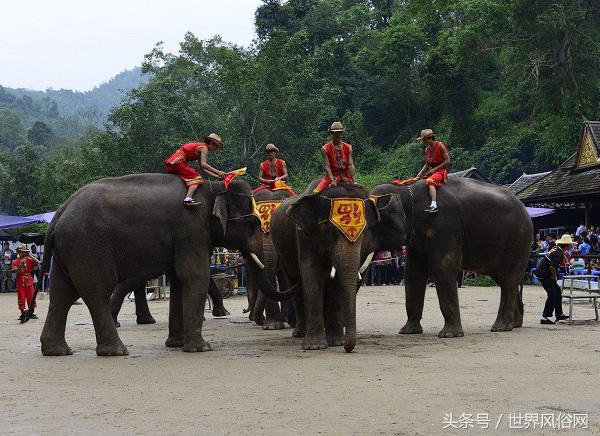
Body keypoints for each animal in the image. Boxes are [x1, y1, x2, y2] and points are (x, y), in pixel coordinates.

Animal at [270, 179, 378, 352]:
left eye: (365, 232)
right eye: (331, 231)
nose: (348, 348)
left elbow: (335, 284)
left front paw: (336, 342)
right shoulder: (304, 235)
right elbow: (312, 278)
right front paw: (315, 346)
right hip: (282, 252)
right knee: (295, 284)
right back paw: (300, 333)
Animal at [368, 177, 532, 338]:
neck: (406, 191)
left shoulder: (443, 225)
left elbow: (443, 267)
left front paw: (449, 335)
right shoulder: (416, 238)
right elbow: (413, 272)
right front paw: (408, 331)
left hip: (517, 241)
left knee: (508, 281)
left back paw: (501, 328)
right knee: (508, 280)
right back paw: (515, 324)